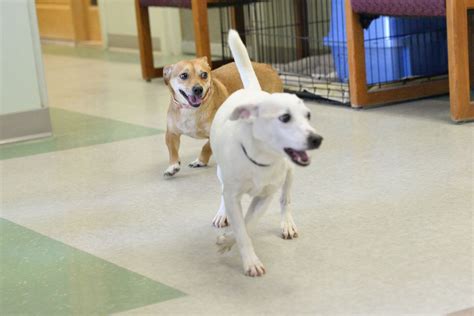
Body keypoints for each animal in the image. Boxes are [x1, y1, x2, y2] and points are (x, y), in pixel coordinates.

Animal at [210, 30, 324, 276]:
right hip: (221, 174)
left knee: (286, 200)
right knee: (222, 192)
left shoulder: (265, 196)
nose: (317, 139)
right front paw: (249, 260)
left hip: (289, 173)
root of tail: (253, 93)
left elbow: (247, 223)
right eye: (285, 118)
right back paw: (222, 214)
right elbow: (240, 226)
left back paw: (287, 224)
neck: (260, 160)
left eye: (308, 115)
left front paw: (228, 242)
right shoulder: (233, 195)